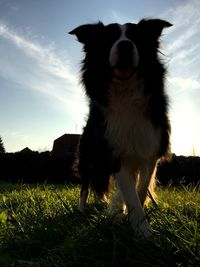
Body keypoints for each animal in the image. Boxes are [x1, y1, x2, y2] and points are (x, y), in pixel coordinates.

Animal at [69, 18, 172, 237]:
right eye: (108, 39)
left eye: (136, 38)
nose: (125, 46)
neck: (125, 93)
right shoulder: (116, 153)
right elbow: (130, 193)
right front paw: (143, 232)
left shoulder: (150, 148)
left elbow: (140, 189)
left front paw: (130, 217)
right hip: (88, 156)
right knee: (85, 184)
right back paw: (82, 210)